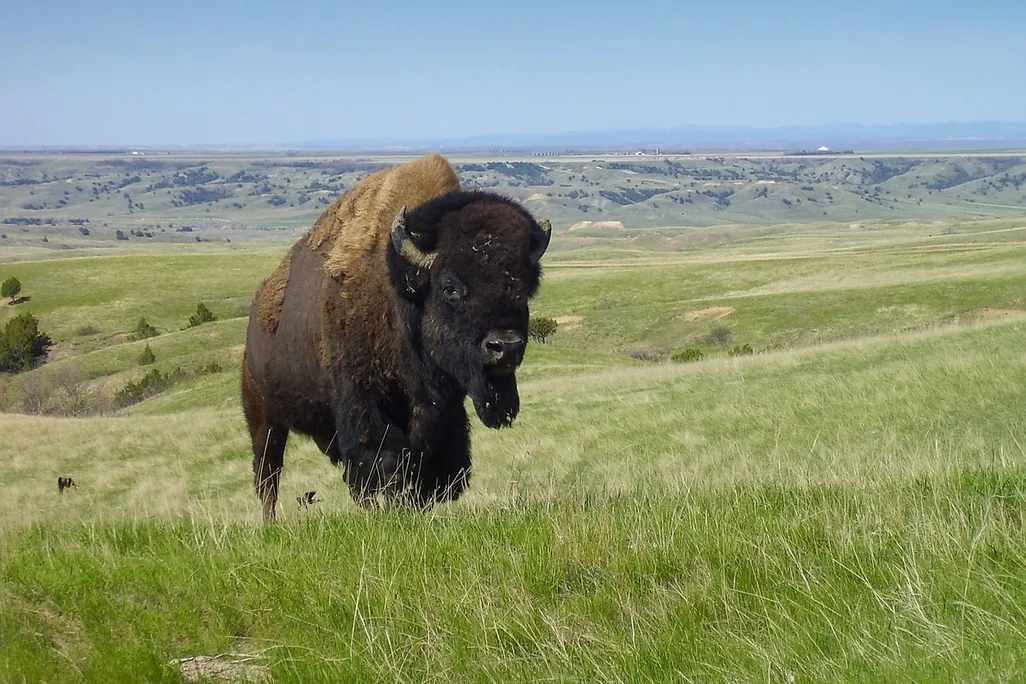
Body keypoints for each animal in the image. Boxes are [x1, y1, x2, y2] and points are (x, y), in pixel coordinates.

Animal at [242, 154, 551, 520]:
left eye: (523, 287)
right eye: (449, 287)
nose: (505, 347)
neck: (400, 294)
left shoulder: (439, 410)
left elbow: (431, 463)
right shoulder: (363, 400)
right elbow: (384, 458)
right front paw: (392, 506)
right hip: (263, 416)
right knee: (268, 474)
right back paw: (270, 522)